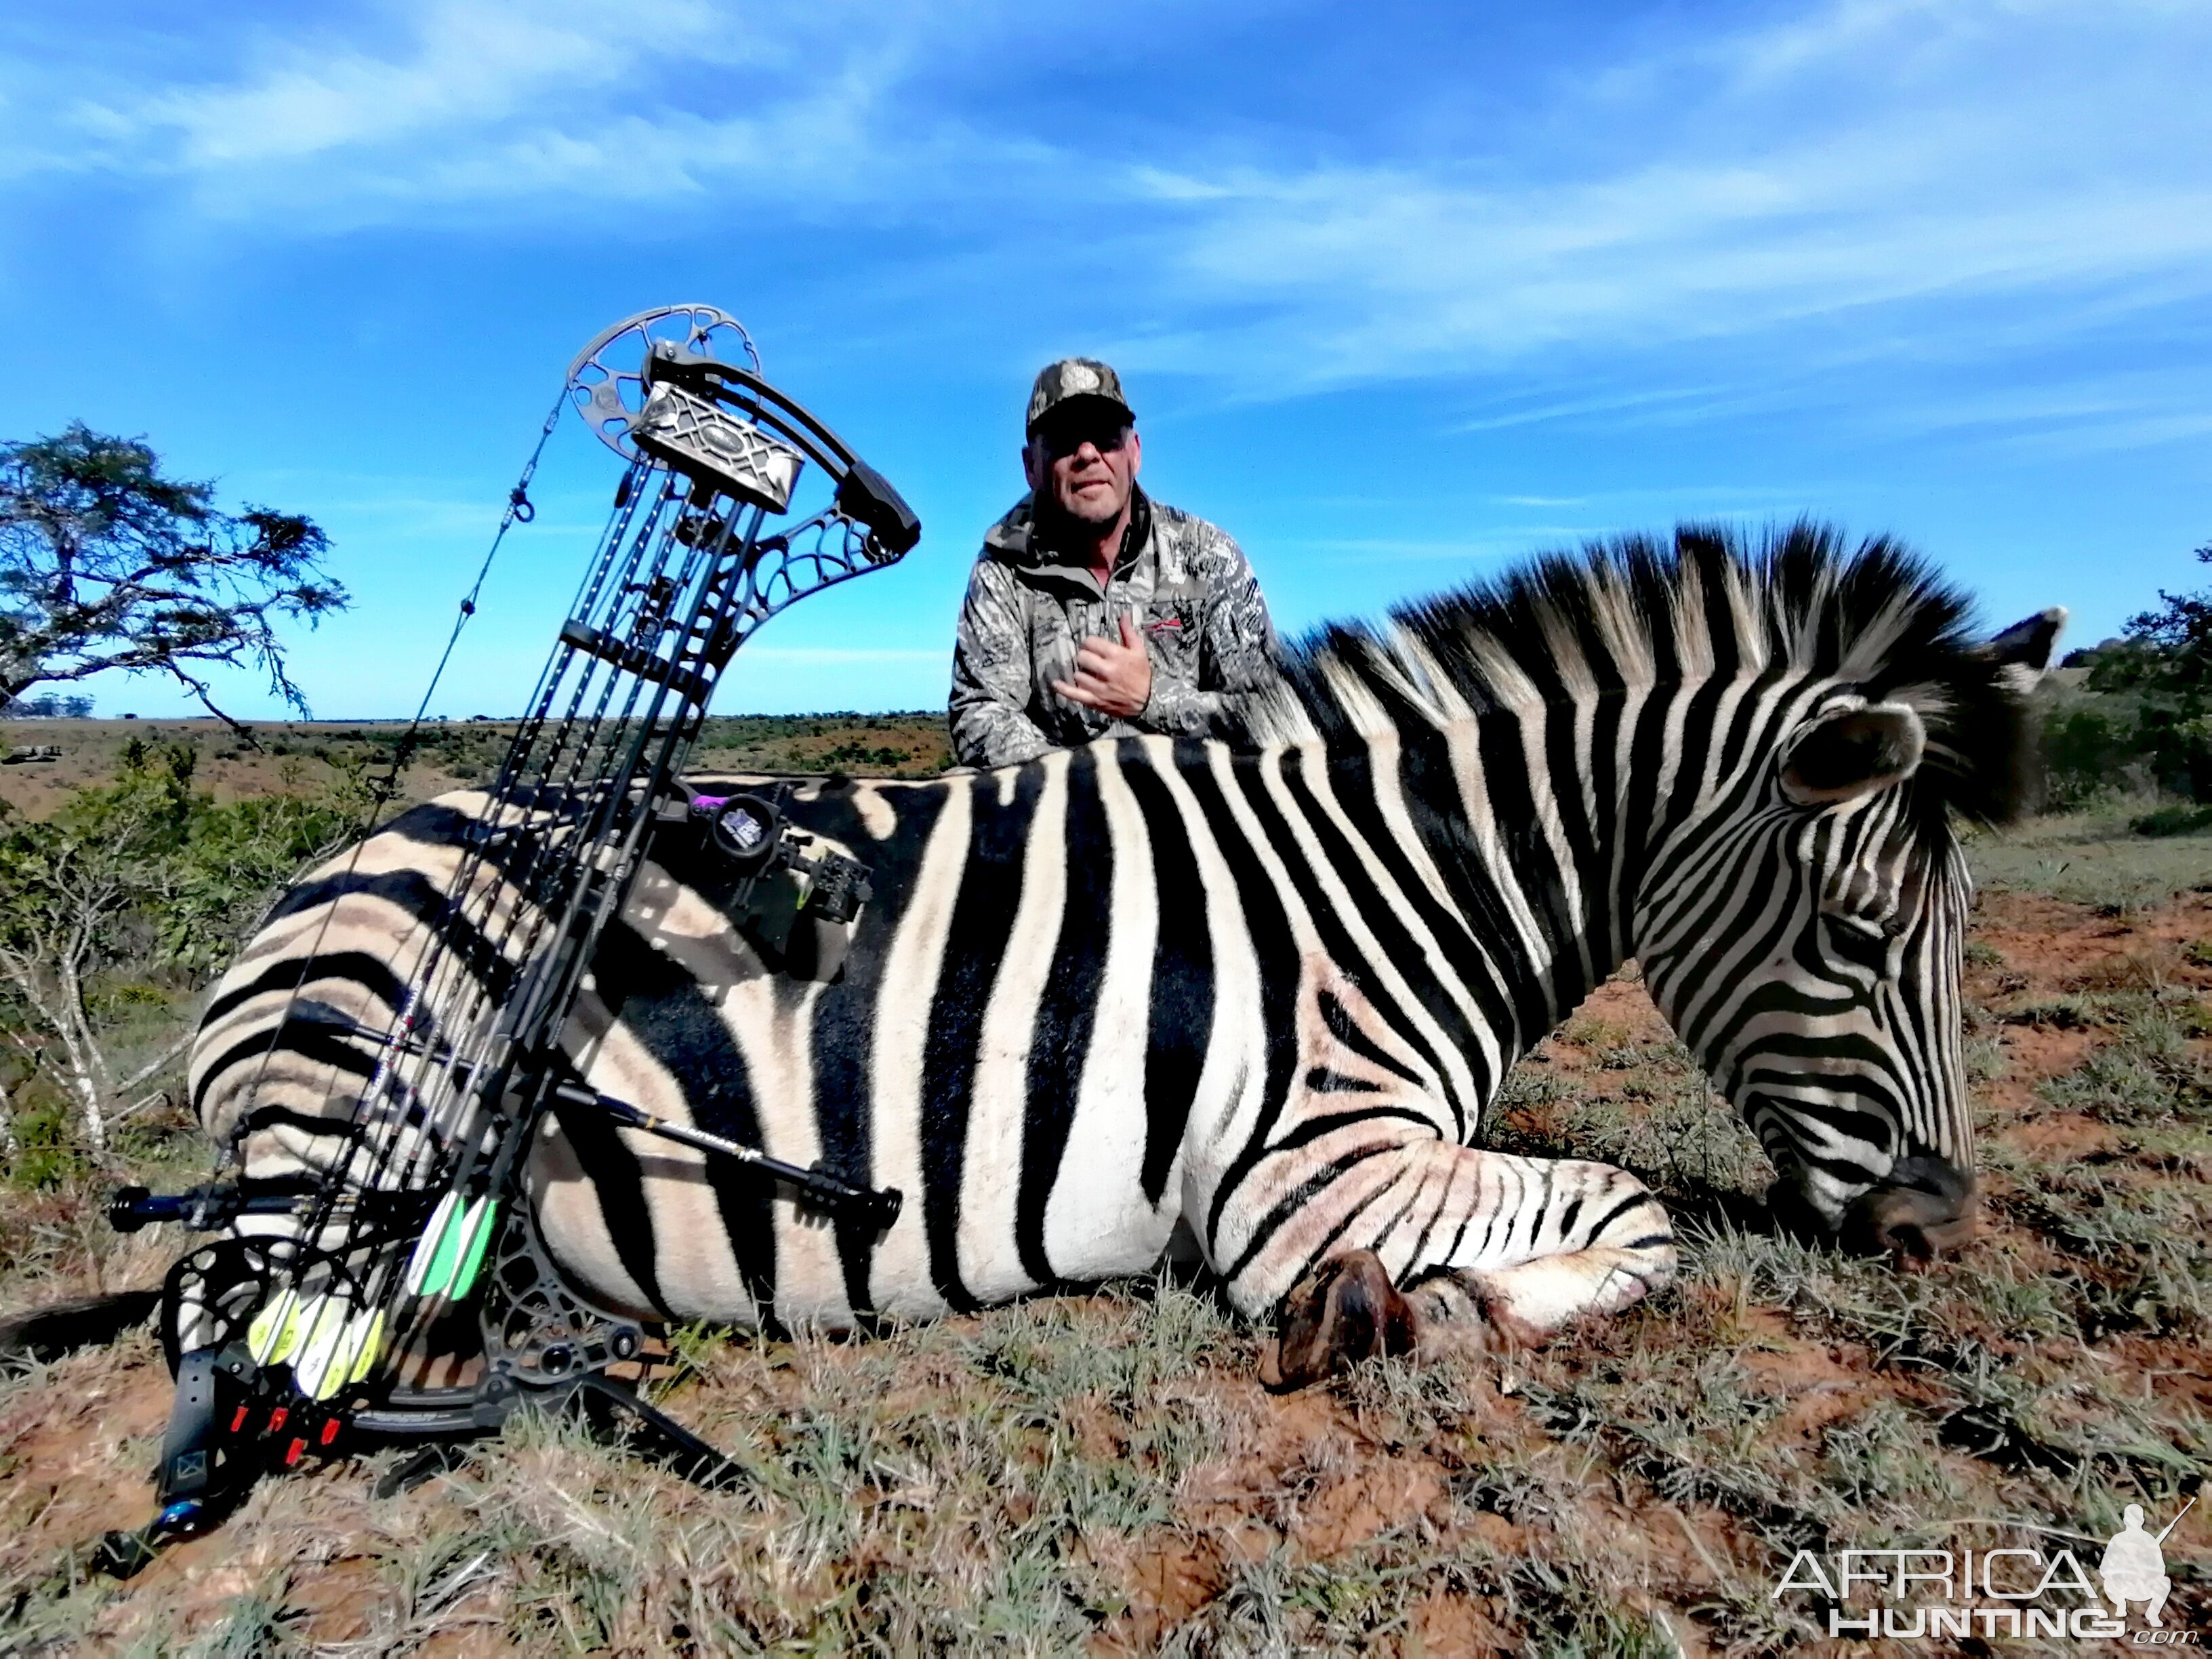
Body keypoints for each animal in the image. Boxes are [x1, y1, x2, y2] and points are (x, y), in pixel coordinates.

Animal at [186, 521, 2060, 1385]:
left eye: (1967, 931)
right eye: (1858, 935)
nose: (1941, 1227)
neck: (1393, 878)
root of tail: (323, 867)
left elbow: (1632, 1213)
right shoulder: (1312, 1175)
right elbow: (1641, 1212)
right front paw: (1432, 1311)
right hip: (356, 1115)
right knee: (241, 1306)